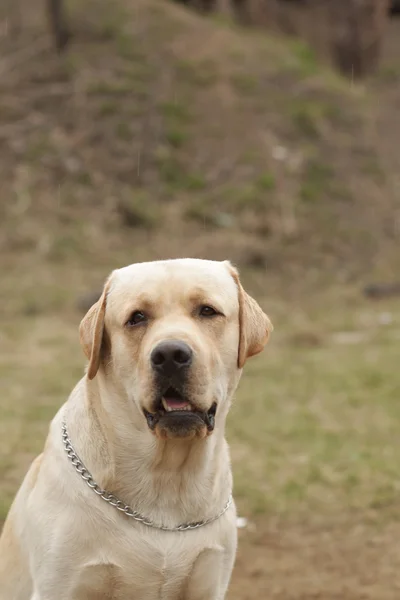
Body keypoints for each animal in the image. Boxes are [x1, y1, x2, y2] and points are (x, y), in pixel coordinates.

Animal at [0, 258, 272, 600]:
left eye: (207, 311)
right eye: (137, 317)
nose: (170, 355)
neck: (166, 477)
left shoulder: (208, 581)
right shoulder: (59, 585)